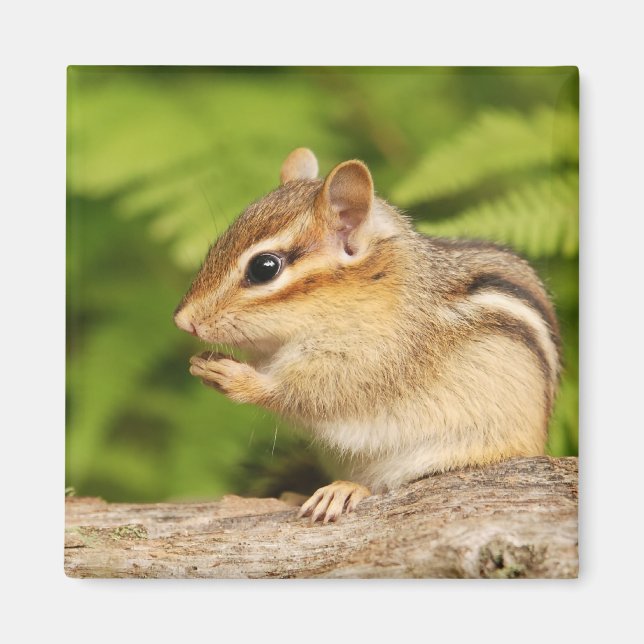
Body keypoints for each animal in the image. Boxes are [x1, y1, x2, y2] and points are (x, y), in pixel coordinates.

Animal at [174, 148, 561, 524]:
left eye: (264, 268)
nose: (183, 321)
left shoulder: (376, 360)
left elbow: (309, 394)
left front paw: (233, 377)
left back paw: (345, 490)